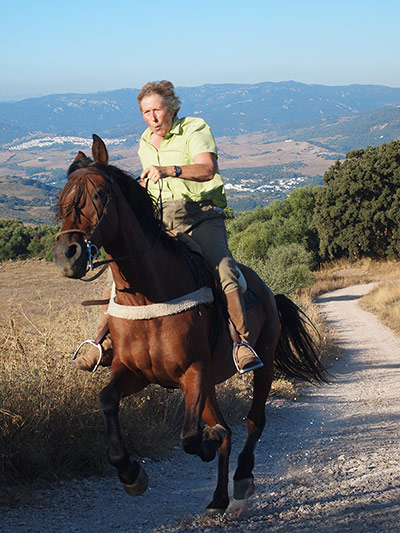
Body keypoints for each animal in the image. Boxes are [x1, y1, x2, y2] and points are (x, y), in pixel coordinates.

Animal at [52, 135, 328, 512]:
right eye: (62, 198)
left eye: (101, 194)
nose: (68, 255)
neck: (149, 295)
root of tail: (268, 291)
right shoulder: (136, 373)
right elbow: (107, 400)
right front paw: (131, 474)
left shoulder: (193, 371)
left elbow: (191, 437)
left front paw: (205, 446)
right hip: (209, 383)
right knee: (227, 429)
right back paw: (217, 499)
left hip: (264, 362)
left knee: (253, 421)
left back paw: (242, 479)